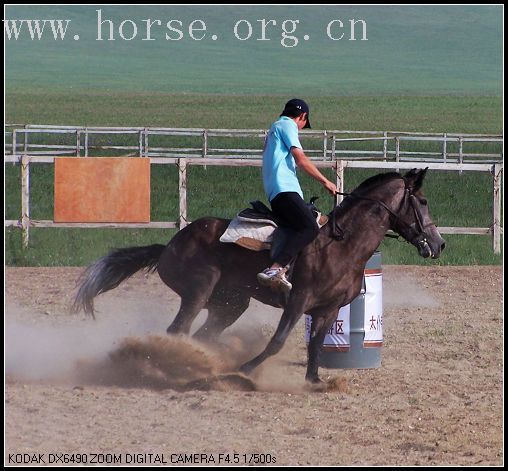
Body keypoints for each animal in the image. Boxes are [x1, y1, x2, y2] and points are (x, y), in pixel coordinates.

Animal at [72, 168, 444, 386]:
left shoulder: (327, 310)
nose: (439, 243)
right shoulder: (297, 301)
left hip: (230, 304)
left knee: (203, 335)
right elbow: (277, 341)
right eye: (424, 200)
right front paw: (247, 370)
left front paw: (314, 382)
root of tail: (169, 246)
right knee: (177, 331)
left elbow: (314, 347)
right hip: (197, 292)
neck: (342, 243)